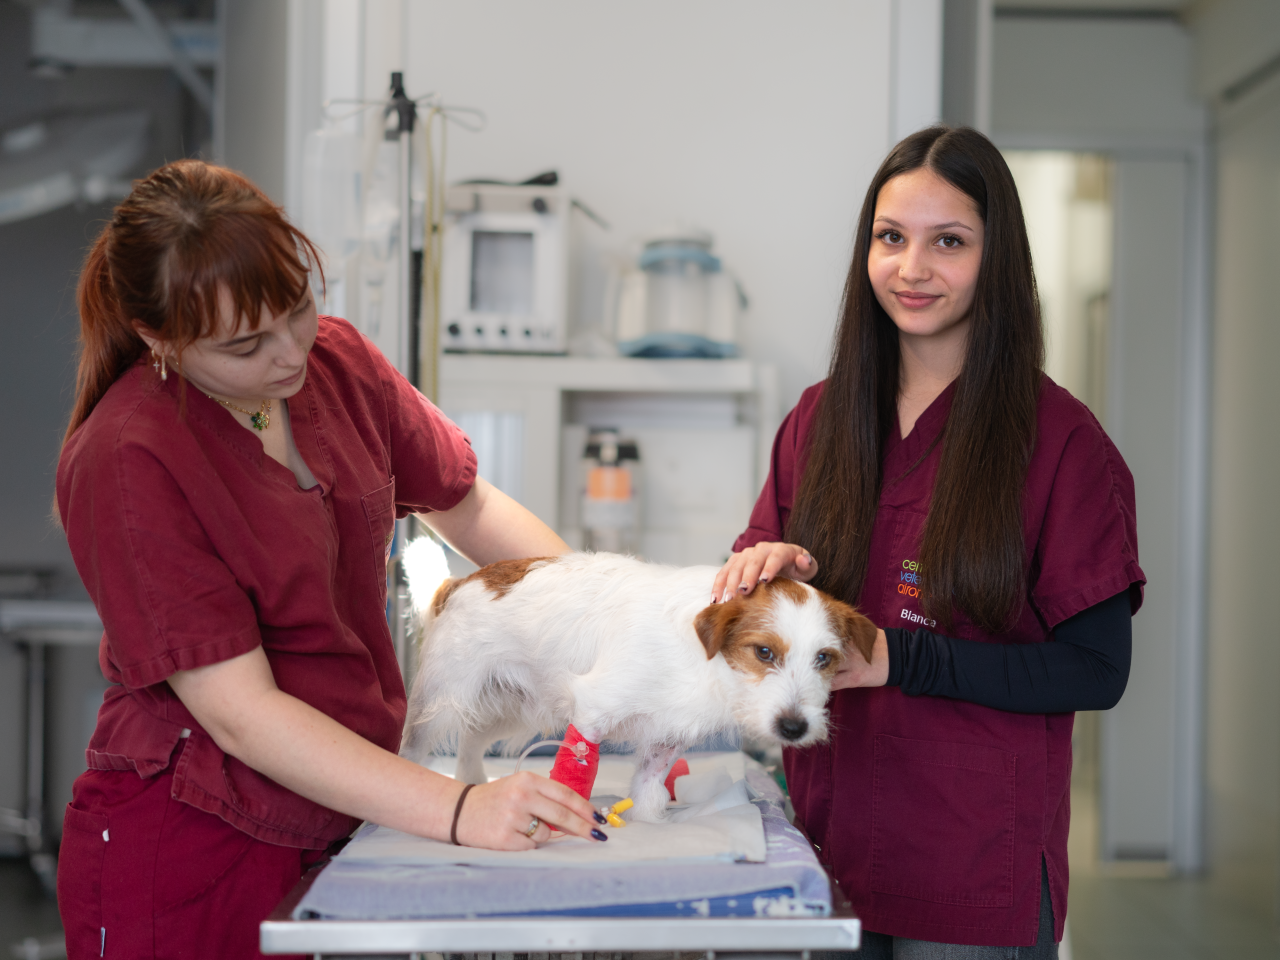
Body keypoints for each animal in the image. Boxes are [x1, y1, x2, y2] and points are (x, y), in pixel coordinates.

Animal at [399, 540, 877, 822]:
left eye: (824, 659)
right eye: (763, 653)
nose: (794, 728)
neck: (705, 660)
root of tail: (458, 582)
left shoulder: (667, 739)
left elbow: (649, 791)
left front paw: (652, 825)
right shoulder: (592, 710)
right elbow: (575, 772)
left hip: (509, 707)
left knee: (471, 741)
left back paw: (474, 782)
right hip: (440, 701)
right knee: (416, 745)